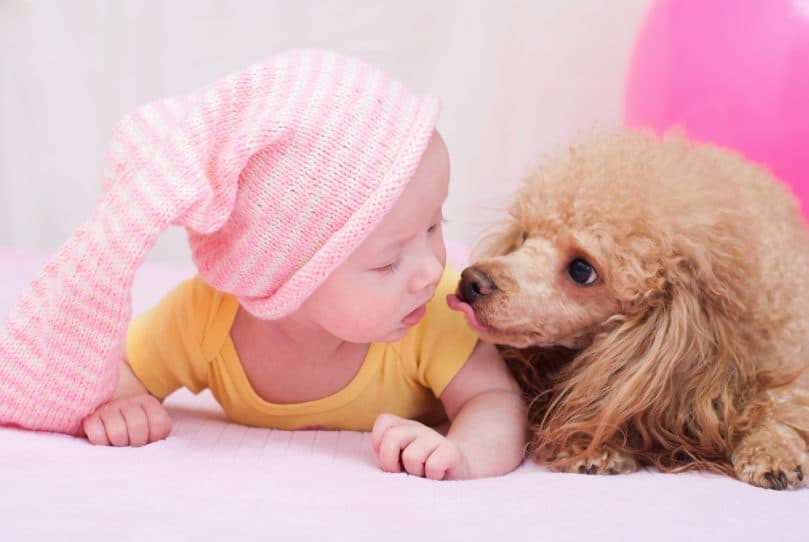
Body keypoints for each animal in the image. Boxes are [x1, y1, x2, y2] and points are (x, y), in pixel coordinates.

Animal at [446, 131, 808, 488]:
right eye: (524, 236)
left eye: (582, 270)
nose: (472, 282)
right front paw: (594, 447)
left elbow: (781, 410)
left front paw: (772, 452)